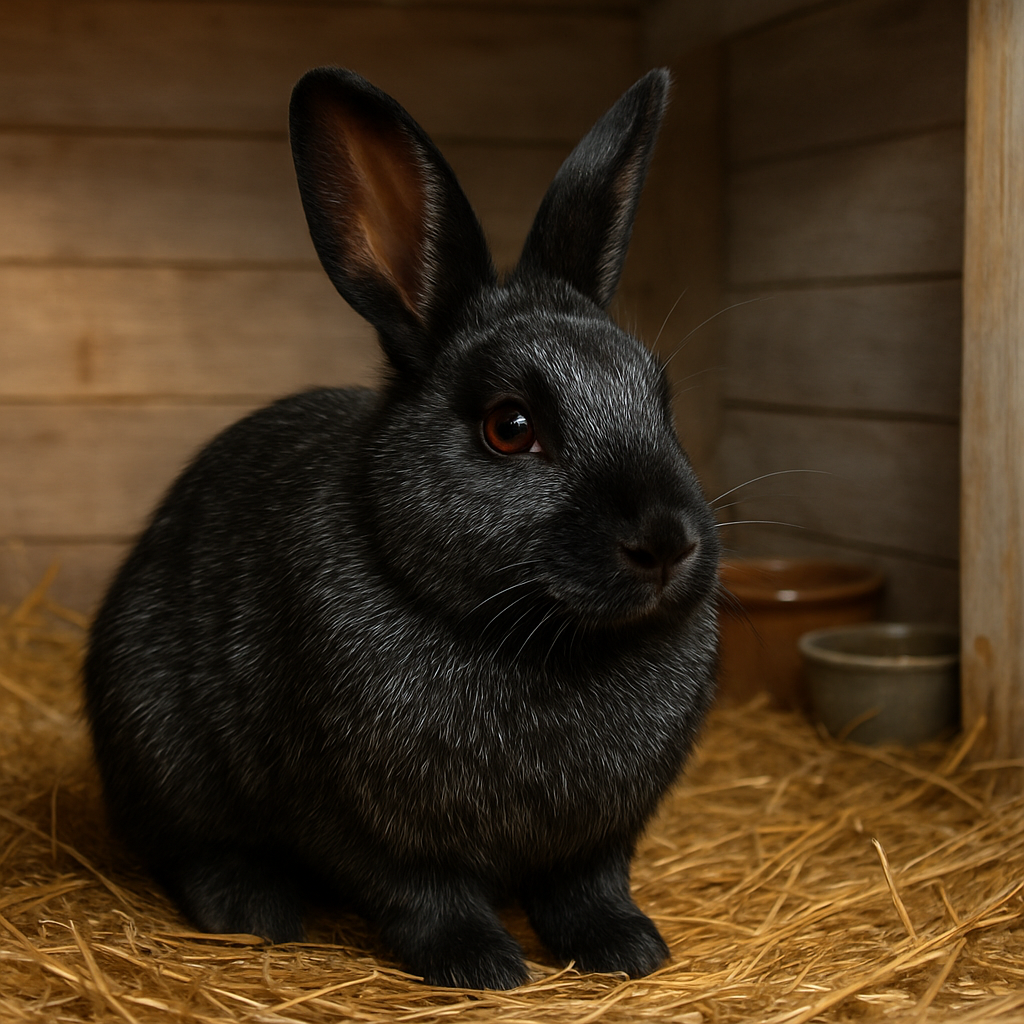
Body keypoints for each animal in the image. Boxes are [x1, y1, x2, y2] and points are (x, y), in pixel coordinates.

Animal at [83, 65, 720, 991]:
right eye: (509, 427)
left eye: (661, 402)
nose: (667, 543)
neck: (537, 642)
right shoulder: (361, 823)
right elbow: (423, 895)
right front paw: (482, 966)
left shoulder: (599, 838)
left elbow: (588, 887)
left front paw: (629, 950)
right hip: (160, 754)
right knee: (192, 850)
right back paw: (256, 912)